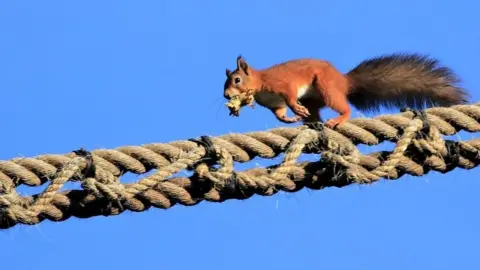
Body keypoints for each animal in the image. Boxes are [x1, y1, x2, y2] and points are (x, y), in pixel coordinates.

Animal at [224, 54, 468, 128]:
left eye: (237, 79)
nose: (226, 96)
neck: (260, 82)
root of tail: (344, 81)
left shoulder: (283, 85)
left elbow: (290, 96)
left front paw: (294, 109)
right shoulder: (274, 103)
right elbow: (279, 113)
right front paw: (289, 119)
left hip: (327, 88)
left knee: (344, 107)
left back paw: (337, 119)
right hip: (316, 98)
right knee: (315, 112)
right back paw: (312, 122)